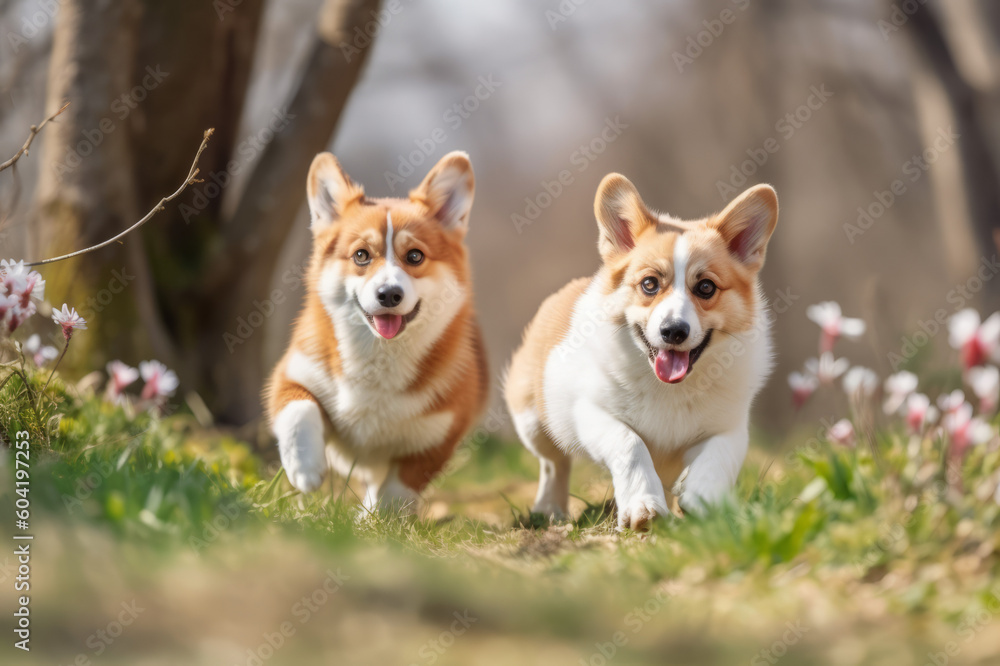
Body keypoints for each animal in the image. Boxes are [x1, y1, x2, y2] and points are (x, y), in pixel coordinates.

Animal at [264, 152, 486, 512]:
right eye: (361, 255)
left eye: (415, 256)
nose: (389, 294)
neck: (380, 354)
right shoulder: (291, 375)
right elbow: (299, 409)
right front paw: (305, 469)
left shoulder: (438, 438)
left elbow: (397, 490)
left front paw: (375, 519)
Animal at [504, 176, 776, 528]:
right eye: (649, 284)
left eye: (706, 287)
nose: (673, 331)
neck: (669, 387)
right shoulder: (592, 413)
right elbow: (630, 444)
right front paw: (643, 507)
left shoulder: (730, 428)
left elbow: (718, 456)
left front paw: (701, 498)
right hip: (533, 422)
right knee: (553, 463)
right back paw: (549, 510)